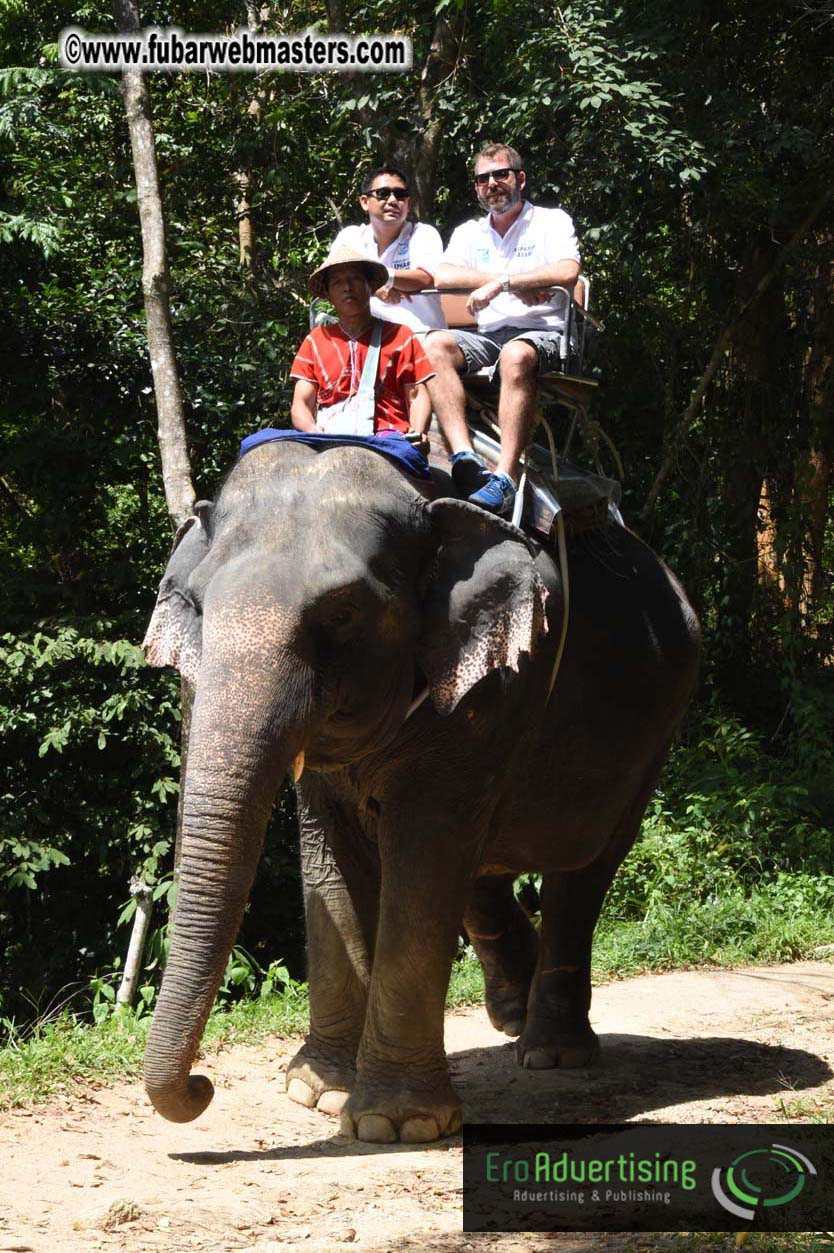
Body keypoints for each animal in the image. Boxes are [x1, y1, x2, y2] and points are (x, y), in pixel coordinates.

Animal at [141, 436, 699, 1144]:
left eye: (342, 613)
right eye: (198, 607)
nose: (202, 1086)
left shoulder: (497, 686)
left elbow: (423, 856)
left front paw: (395, 1124)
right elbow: (335, 863)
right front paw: (315, 1091)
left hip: (656, 727)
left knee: (582, 868)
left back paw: (551, 1051)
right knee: (485, 869)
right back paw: (512, 1014)